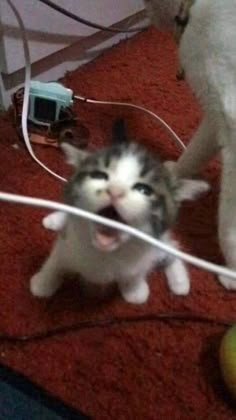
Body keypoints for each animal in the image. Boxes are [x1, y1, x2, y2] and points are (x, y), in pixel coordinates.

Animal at [30, 122, 208, 306]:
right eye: (99, 175)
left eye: (144, 190)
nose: (115, 191)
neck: (106, 253)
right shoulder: (67, 242)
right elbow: (56, 261)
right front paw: (43, 283)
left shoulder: (146, 253)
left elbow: (136, 272)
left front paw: (135, 289)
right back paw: (54, 219)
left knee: (171, 248)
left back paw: (180, 283)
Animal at [144, 0, 236, 288]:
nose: (148, 18)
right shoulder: (215, 116)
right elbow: (196, 150)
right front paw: (173, 172)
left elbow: (229, 221)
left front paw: (232, 270)